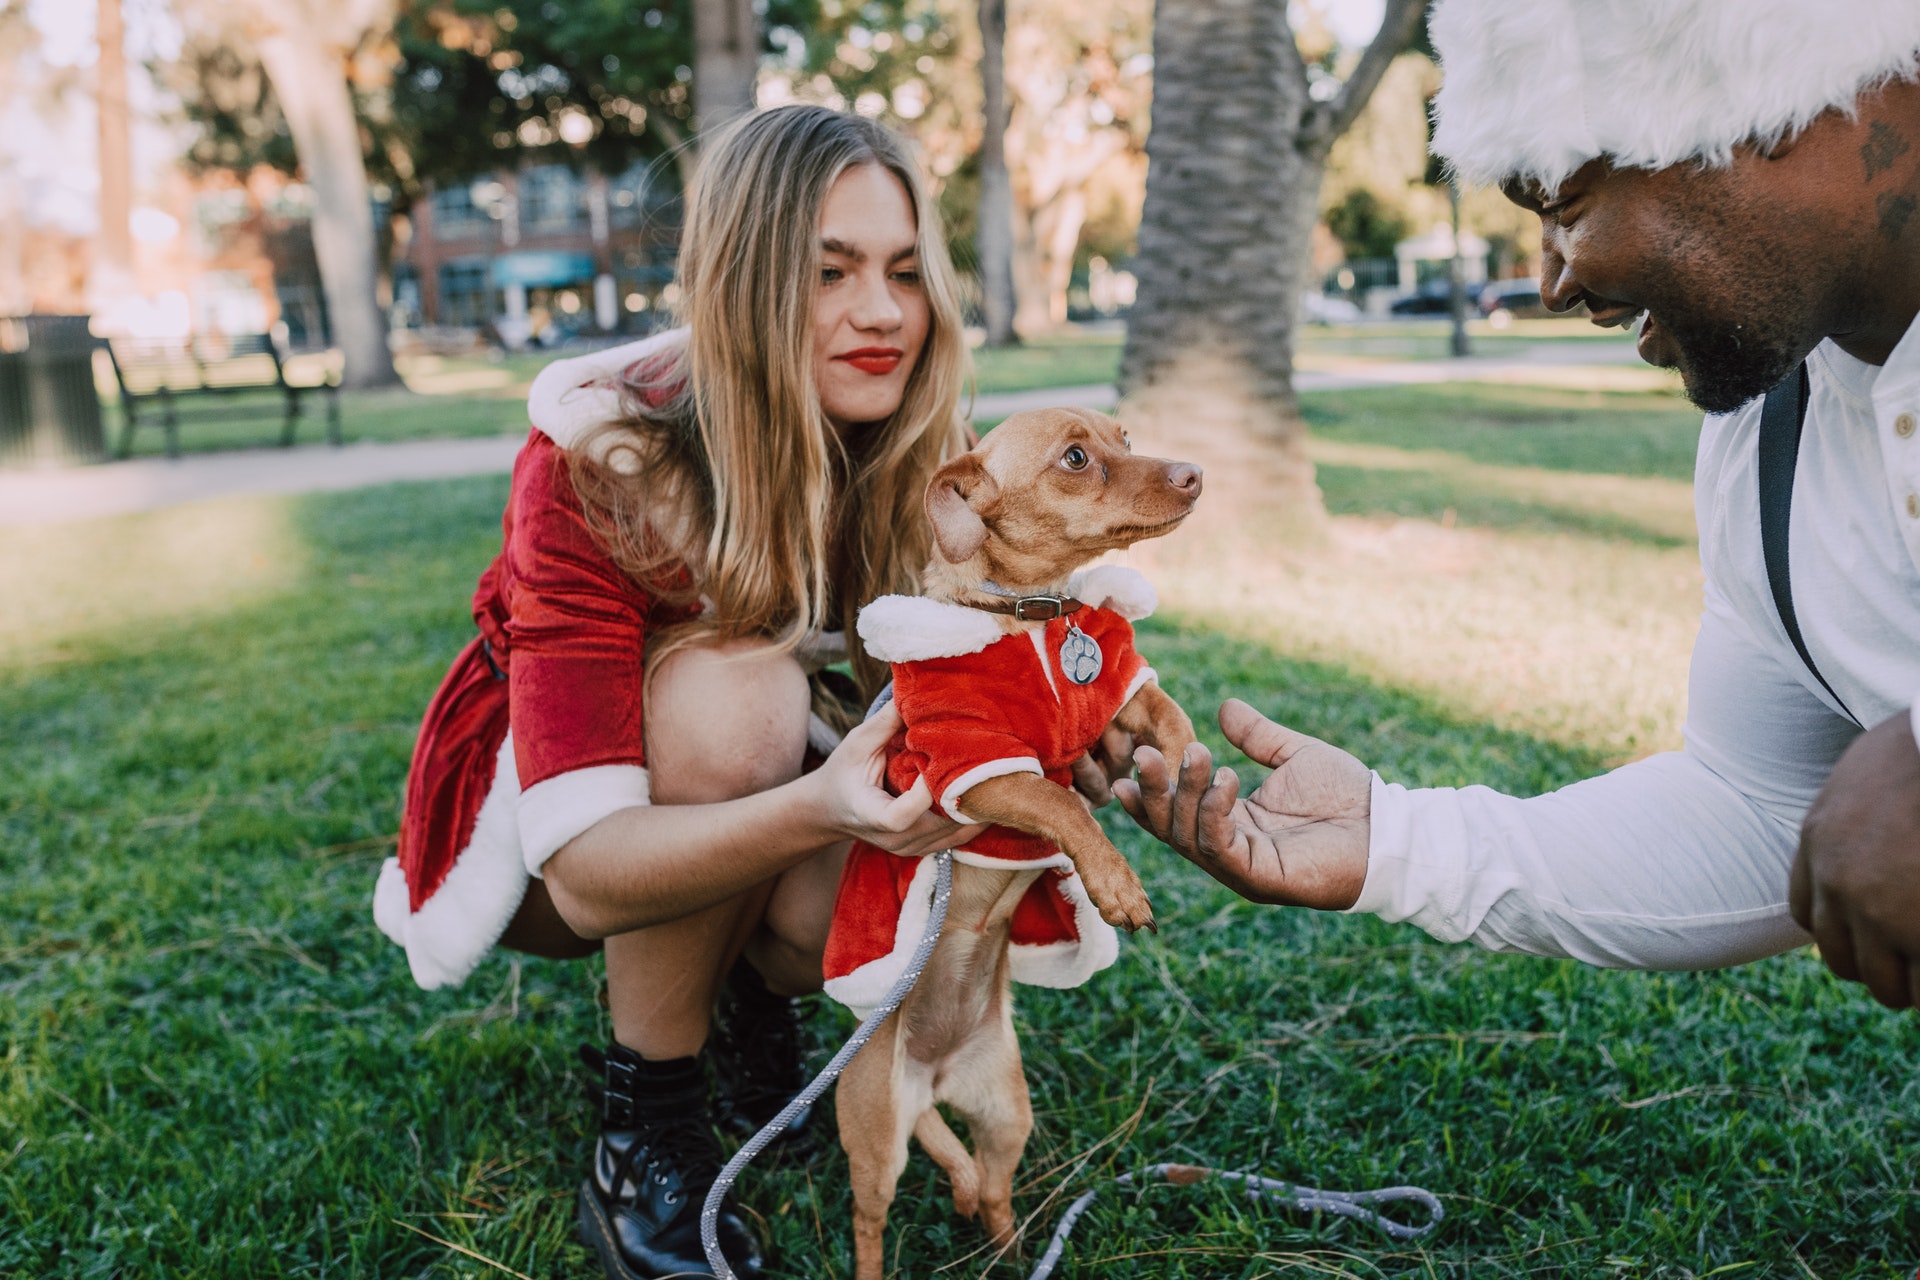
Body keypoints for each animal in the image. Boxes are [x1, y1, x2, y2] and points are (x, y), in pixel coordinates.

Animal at [821, 408, 1198, 1280]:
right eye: (1076, 459)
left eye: (1126, 437)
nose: (1195, 473)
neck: (1040, 616)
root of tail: (933, 1079)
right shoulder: (975, 766)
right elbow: (1061, 801)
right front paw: (1114, 882)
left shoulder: (1124, 695)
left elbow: (1172, 719)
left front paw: (1189, 783)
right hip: (876, 1138)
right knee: (868, 1221)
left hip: (1005, 1116)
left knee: (991, 1191)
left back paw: (1012, 1249)